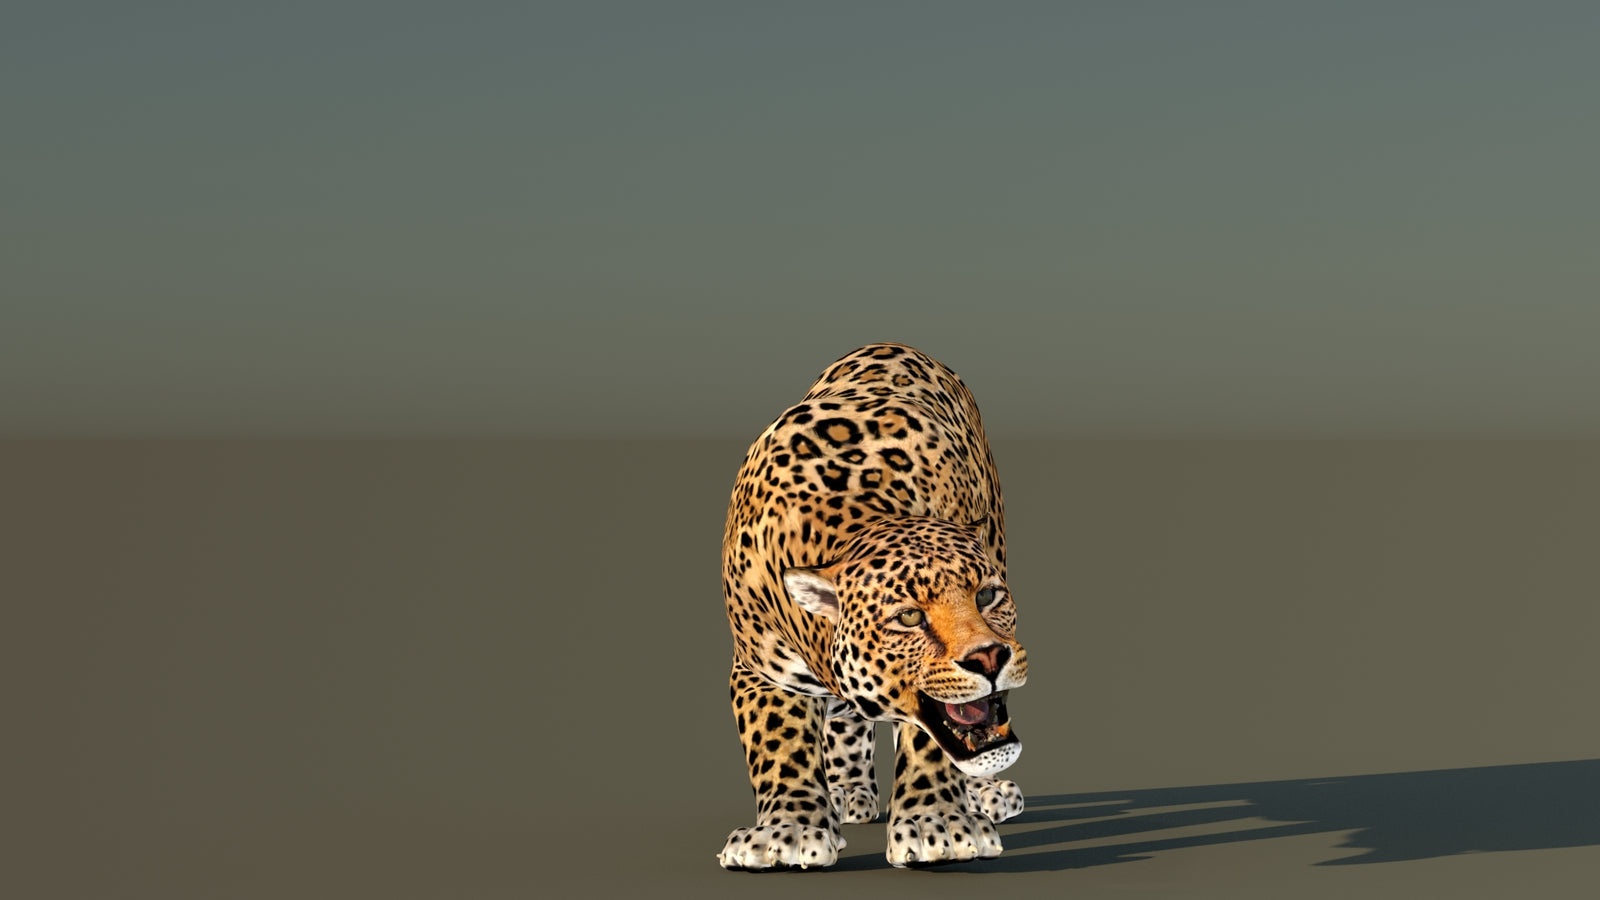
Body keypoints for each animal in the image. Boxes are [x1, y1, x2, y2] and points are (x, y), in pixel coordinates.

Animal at [718, 342, 1028, 871]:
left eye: (986, 595)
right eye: (909, 617)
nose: (989, 657)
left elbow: (929, 738)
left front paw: (936, 824)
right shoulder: (760, 670)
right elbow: (778, 745)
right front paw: (787, 831)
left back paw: (986, 795)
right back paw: (845, 794)